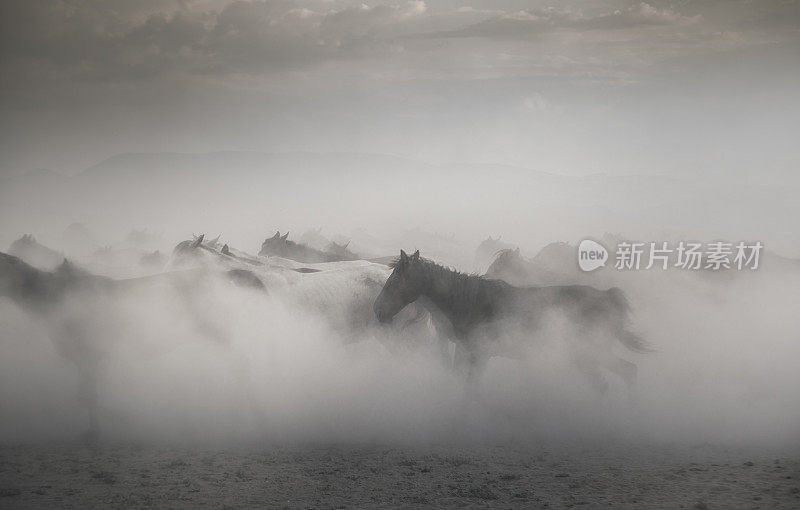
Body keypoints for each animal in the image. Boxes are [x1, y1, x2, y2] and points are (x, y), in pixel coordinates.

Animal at [372, 251, 648, 390]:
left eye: (395, 280)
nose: (377, 310)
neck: (469, 301)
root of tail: (608, 296)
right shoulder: (465, 352)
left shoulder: (478, 354)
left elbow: (470, 389)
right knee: (628, 371)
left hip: (588, 352)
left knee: (610, 380)